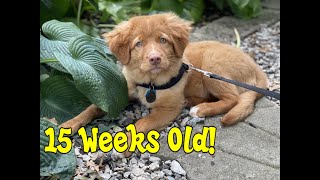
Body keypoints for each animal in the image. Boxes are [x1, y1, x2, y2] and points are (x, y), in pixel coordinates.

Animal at [59, 12, 268, 156]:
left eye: (163, 40)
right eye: (139, 44)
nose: (155, 59)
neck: (149, 83)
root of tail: (257, 68)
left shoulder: (167, 109)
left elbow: (141, 123)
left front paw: (124, 144)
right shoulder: (121, 93)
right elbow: (92, 108)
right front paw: (69, 124)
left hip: (212, 64)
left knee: (233, 99)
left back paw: (201, 109)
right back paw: (191, 101)